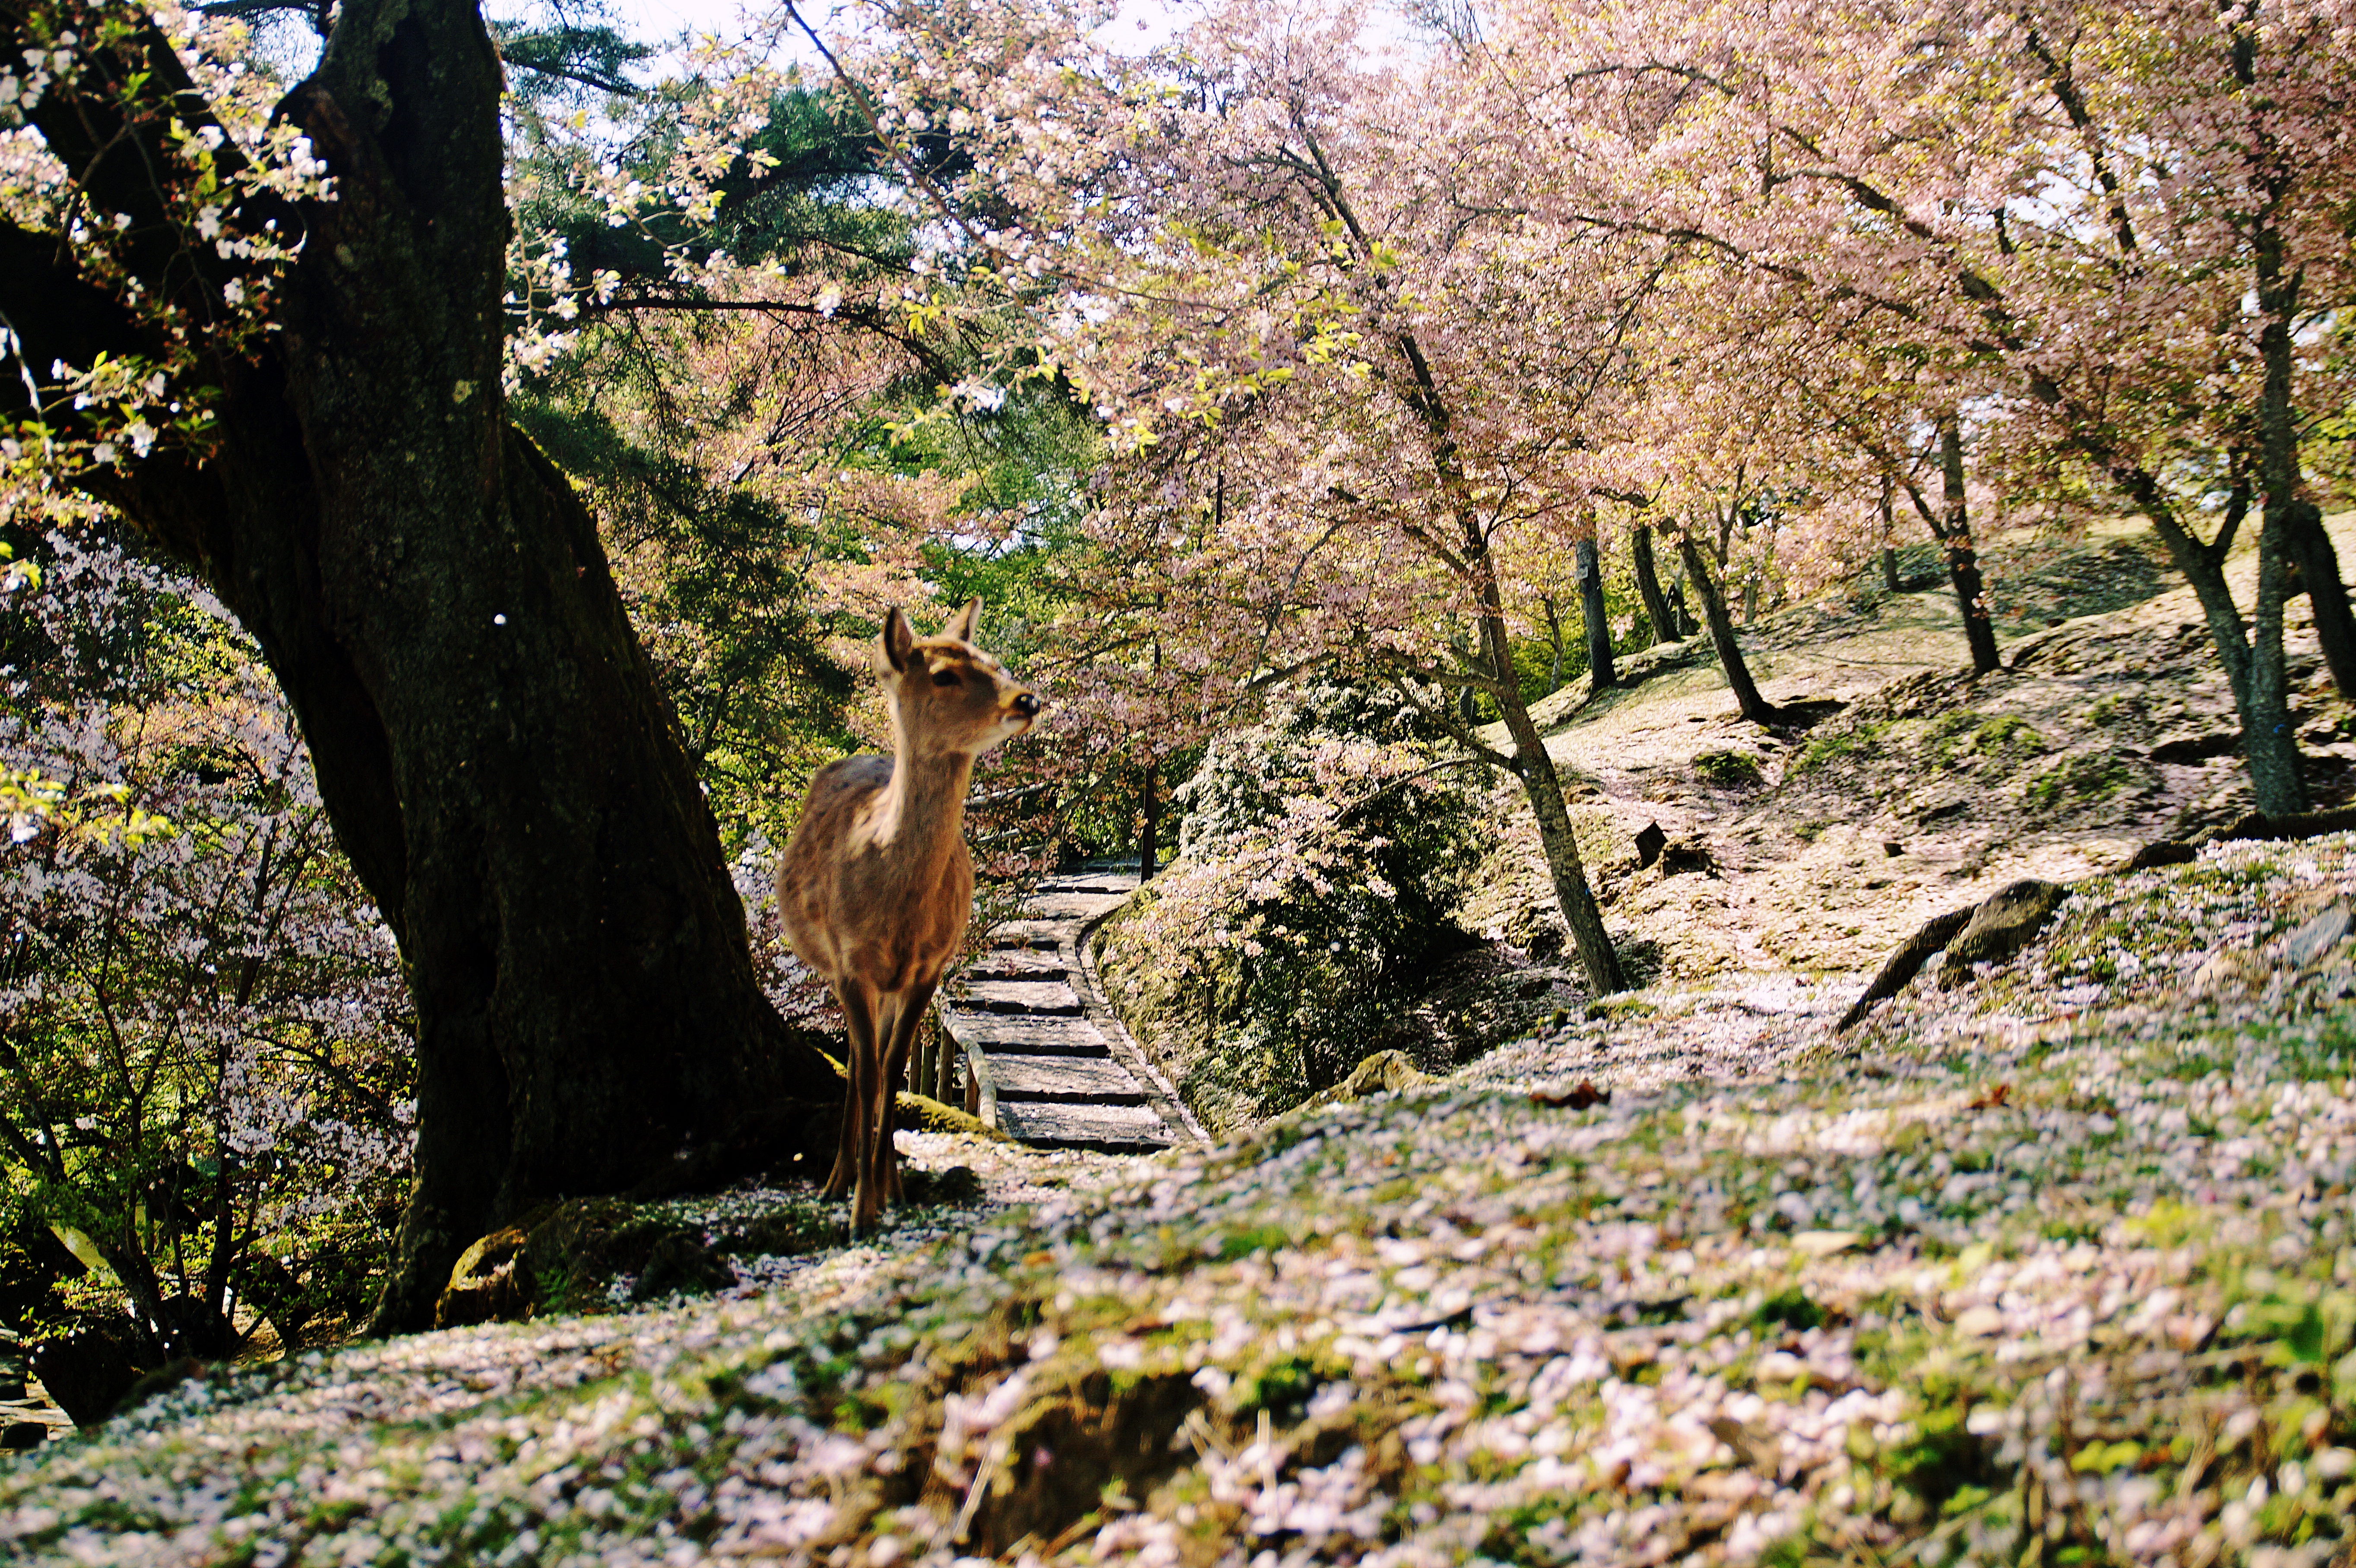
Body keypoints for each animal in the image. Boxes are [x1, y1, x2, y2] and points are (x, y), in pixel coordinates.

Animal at [773, 595, 1041, 1233]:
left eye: (993, 660)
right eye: (943, 675)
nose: (1026, 699)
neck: (899, 913)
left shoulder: (930, 967)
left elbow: (894, 1071)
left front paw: (888, 1195)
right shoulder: (851, 962)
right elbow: (871, 1071)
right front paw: (860, 1212)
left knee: (873, 1059)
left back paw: (880, 1177)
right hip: (832, 965)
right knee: (855, 1060)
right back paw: (837, 1180)